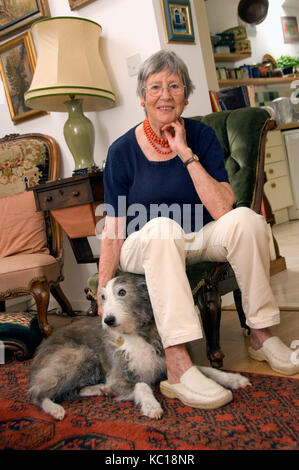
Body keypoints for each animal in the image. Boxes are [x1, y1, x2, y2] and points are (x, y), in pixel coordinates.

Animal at [29, 274, 251, 420]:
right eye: (103, 297)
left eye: (122, 292)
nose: (108, 320)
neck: (136, 332)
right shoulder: (118, 378)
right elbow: (142, 385)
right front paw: (152, 405)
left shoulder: (165, 366)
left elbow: (205, 369)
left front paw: (234, 379)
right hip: (79, 355)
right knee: (36, 394)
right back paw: (55, 409)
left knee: (72, 390)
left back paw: (99, 389)